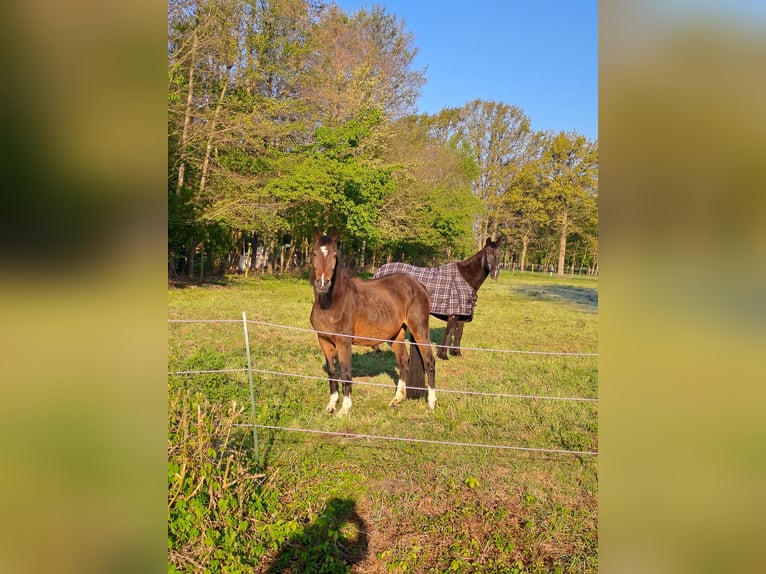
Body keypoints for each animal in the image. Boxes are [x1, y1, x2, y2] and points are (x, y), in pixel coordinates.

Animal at [308, 231, 438, 418]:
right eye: (314, 253)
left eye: (334, 255)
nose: (323, 283)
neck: (332, 302)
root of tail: (420, 286)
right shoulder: (324, 340)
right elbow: (333, 372)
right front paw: (331, 405)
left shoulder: (343, 342)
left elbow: (346, 373)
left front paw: (344, 409)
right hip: (396, 335)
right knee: (403, 361)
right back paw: (397, 399)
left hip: (420, 329)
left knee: (429, 361)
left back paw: (431, 404)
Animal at [374, 238, 504, 360]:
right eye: (487, 252)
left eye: (500, 253)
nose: (495, 273)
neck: (465, 279)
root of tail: (380, 269)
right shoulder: (453, 314)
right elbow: (448, 333)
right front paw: (443, 355)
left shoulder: (462, 315)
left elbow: (458, 334)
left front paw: (456, 353)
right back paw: (377, 350)